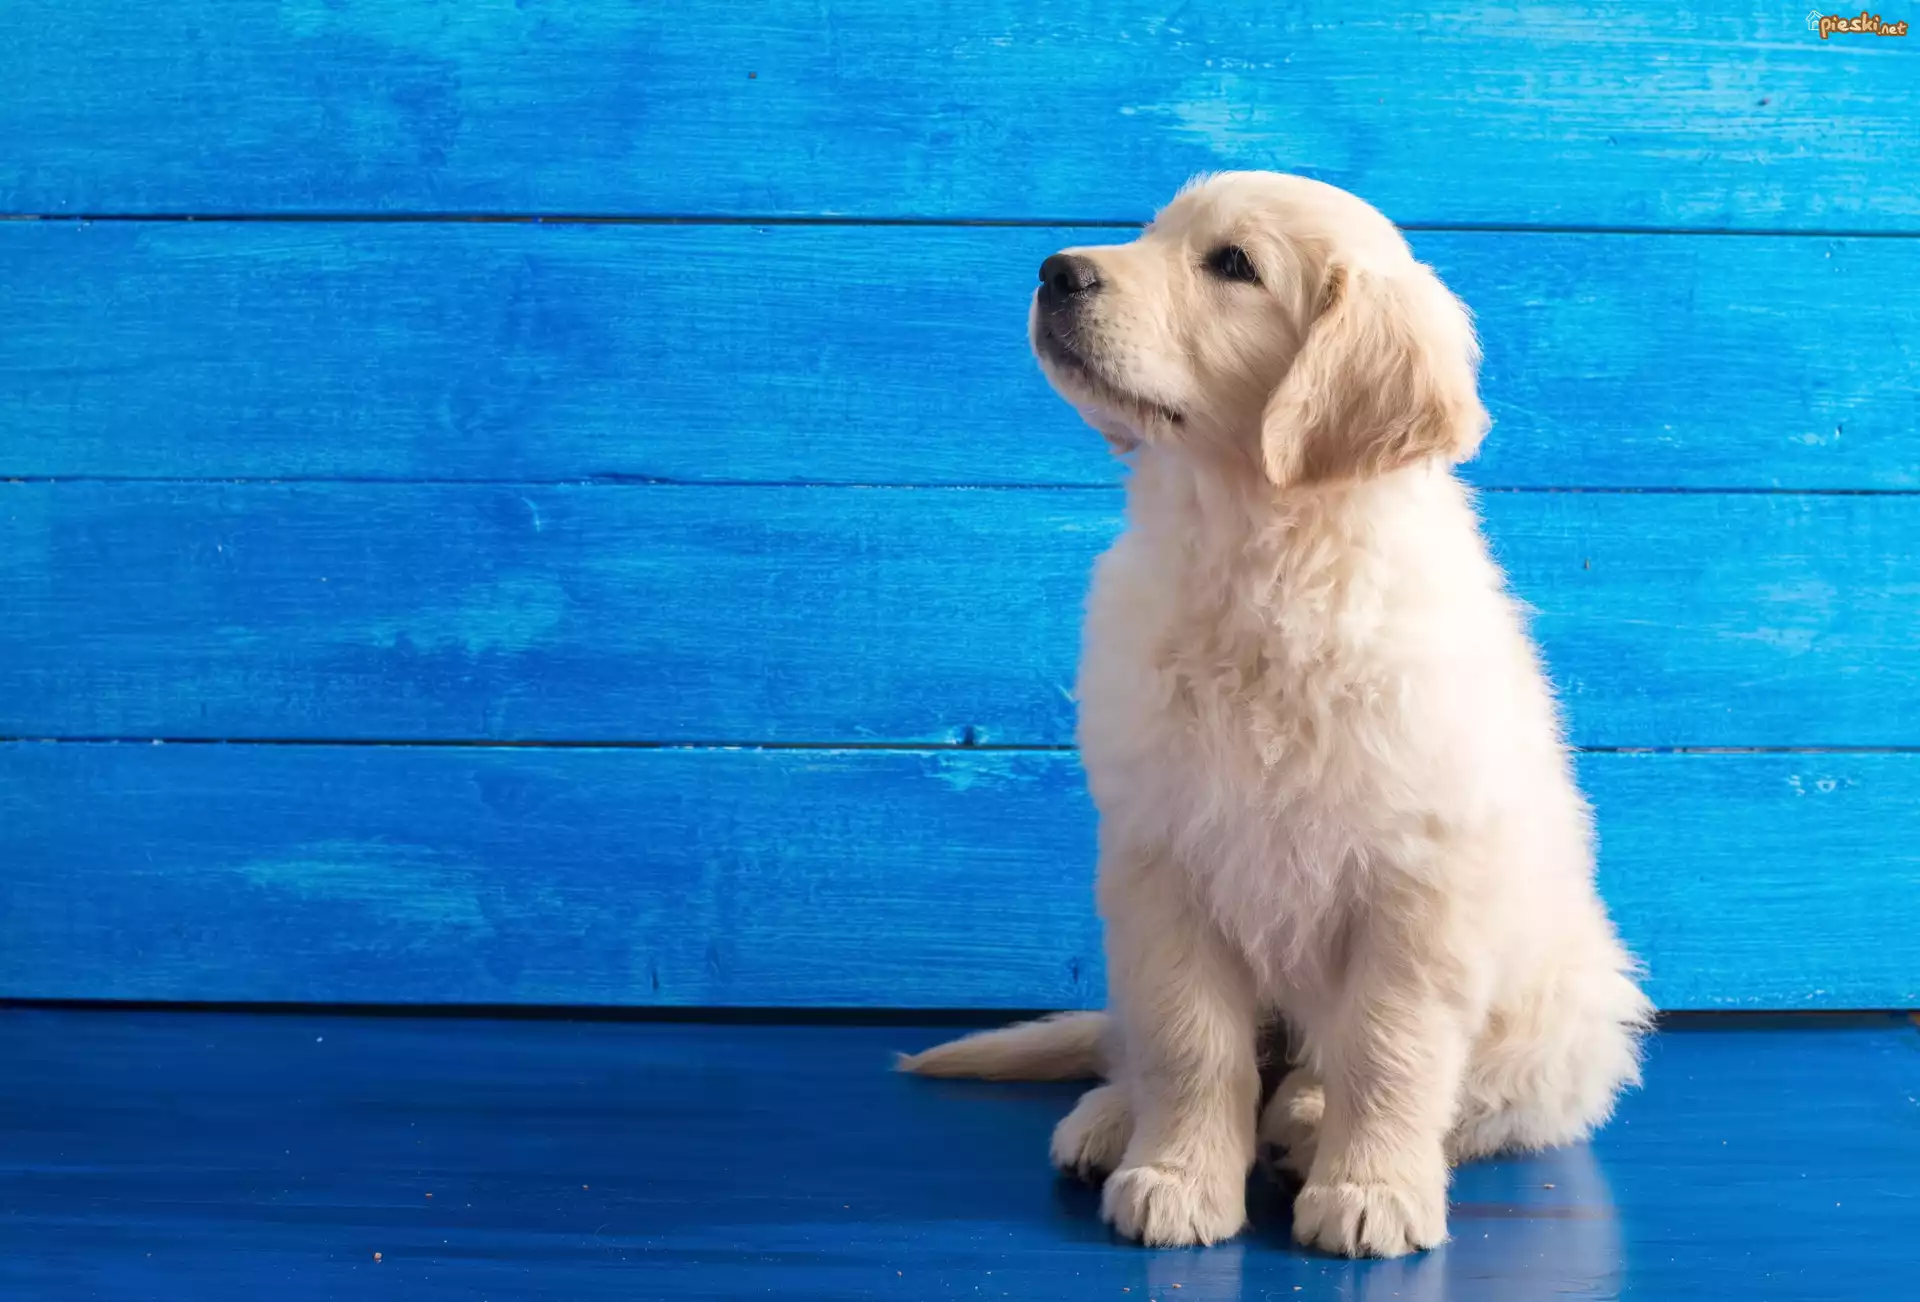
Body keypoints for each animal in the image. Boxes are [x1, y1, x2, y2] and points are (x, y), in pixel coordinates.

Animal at [898, 173, 1651, 1267]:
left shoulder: (1418, 879)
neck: (1254, 551)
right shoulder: (1161, 859)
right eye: (1152, 233)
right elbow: (1189, 1044)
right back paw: (1115, 1120)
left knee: (1469, 1093)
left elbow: (1391, 1050)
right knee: (1152, 1047)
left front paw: (1369, 1188)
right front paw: (1176, 1176)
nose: (1055, 270)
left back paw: (1304, 1124)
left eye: (1232, 266)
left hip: (1563, 1012)